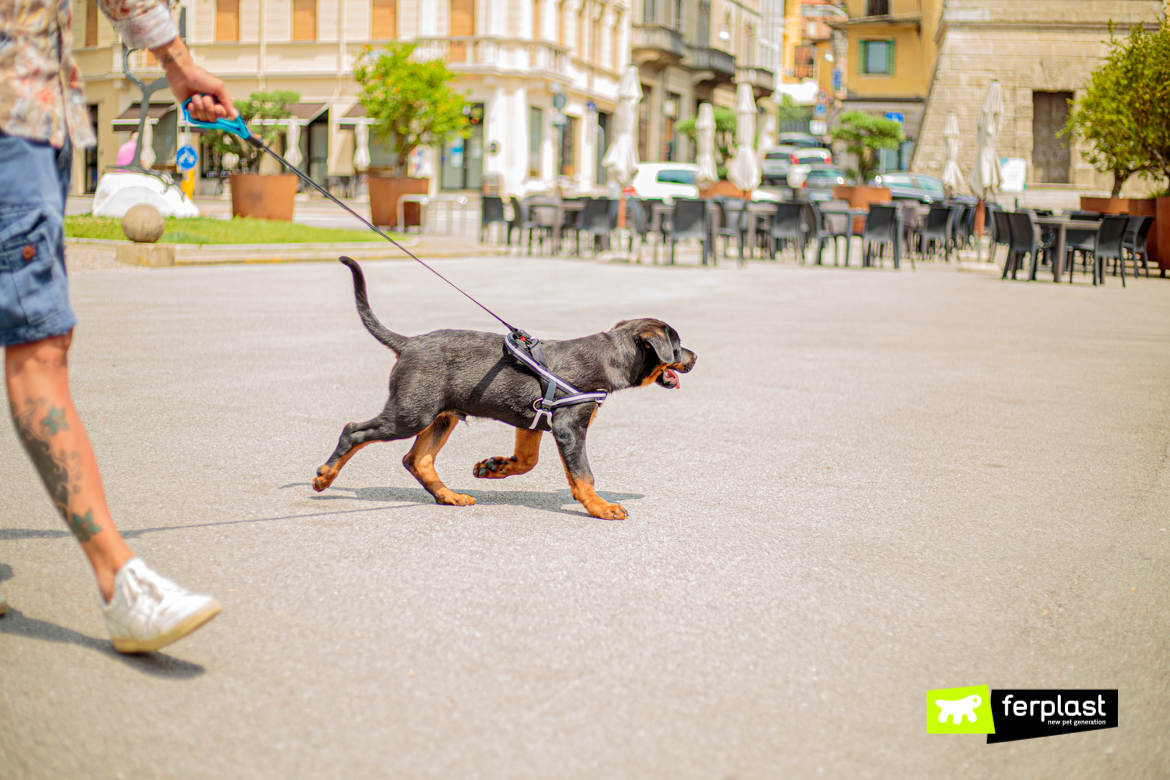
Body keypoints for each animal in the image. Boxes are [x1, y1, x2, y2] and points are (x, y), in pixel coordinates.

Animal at [311, 257, 692, 519]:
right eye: (677, 347)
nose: (695, 357)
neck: (608, 355)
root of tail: (408, 343)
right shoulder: (569, 426)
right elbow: (584, 473)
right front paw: (600, 506)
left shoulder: (534, 422)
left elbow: (527, 460)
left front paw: (495, 466)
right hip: (411, 413)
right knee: (355, 431)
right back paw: (325, 477)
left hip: (442, 416)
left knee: (417, 459)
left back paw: (448, 495)